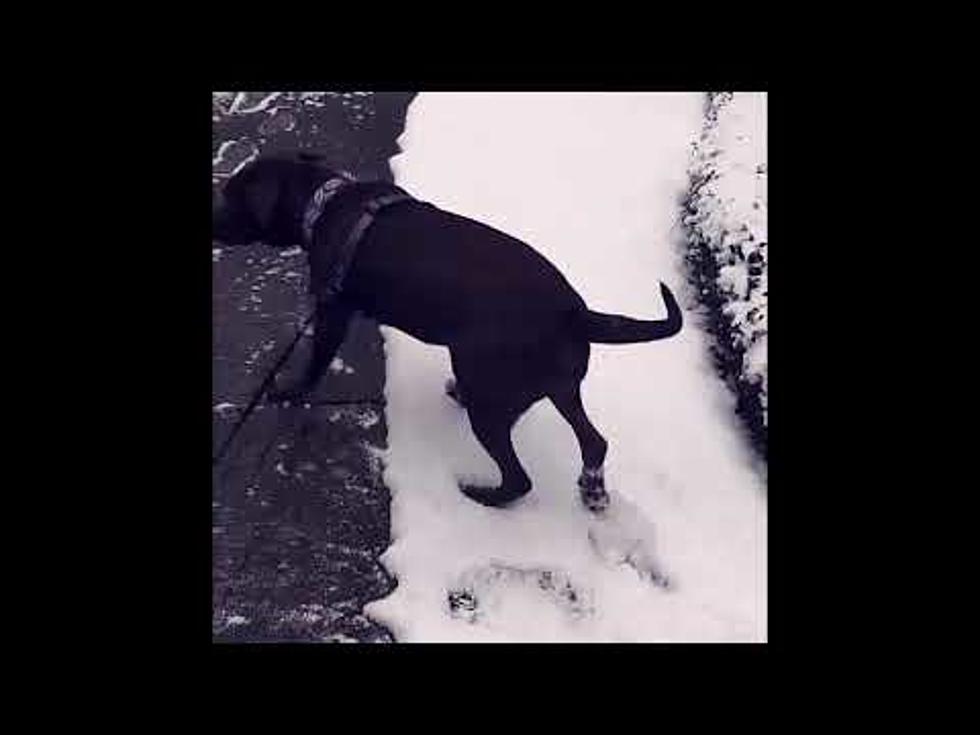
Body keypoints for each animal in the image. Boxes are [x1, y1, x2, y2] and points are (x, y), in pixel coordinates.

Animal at [212, 154, 680, 512]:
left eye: (232, 196)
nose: (211, 223)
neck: (323, 203)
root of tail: (575, 312)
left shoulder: (332, 311)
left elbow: (315, 362)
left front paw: (290, 391)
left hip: (491, 402)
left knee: (520, 479)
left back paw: (483, 496)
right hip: (560, 385)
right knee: (594, 442)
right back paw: (592, 488)